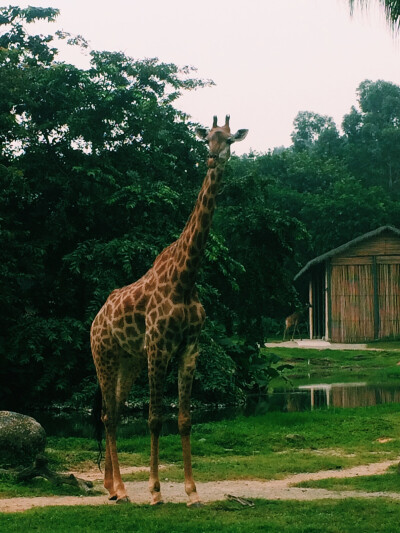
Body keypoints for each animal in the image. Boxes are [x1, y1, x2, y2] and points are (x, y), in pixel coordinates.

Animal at [90, 114, 250, 504]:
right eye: (207, 138)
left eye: (229, 140)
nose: (213, 158)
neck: (185, 277)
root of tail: (96, 319)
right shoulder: (159, 347)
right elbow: (153, 418)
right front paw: (155, 491)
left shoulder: (189, 349)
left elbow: (184, 419)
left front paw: (192, 492)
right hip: (104, 356)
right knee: (110, 417)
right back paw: (121, 489)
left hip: (128, 362)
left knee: (114, 412)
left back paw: (112, 487)